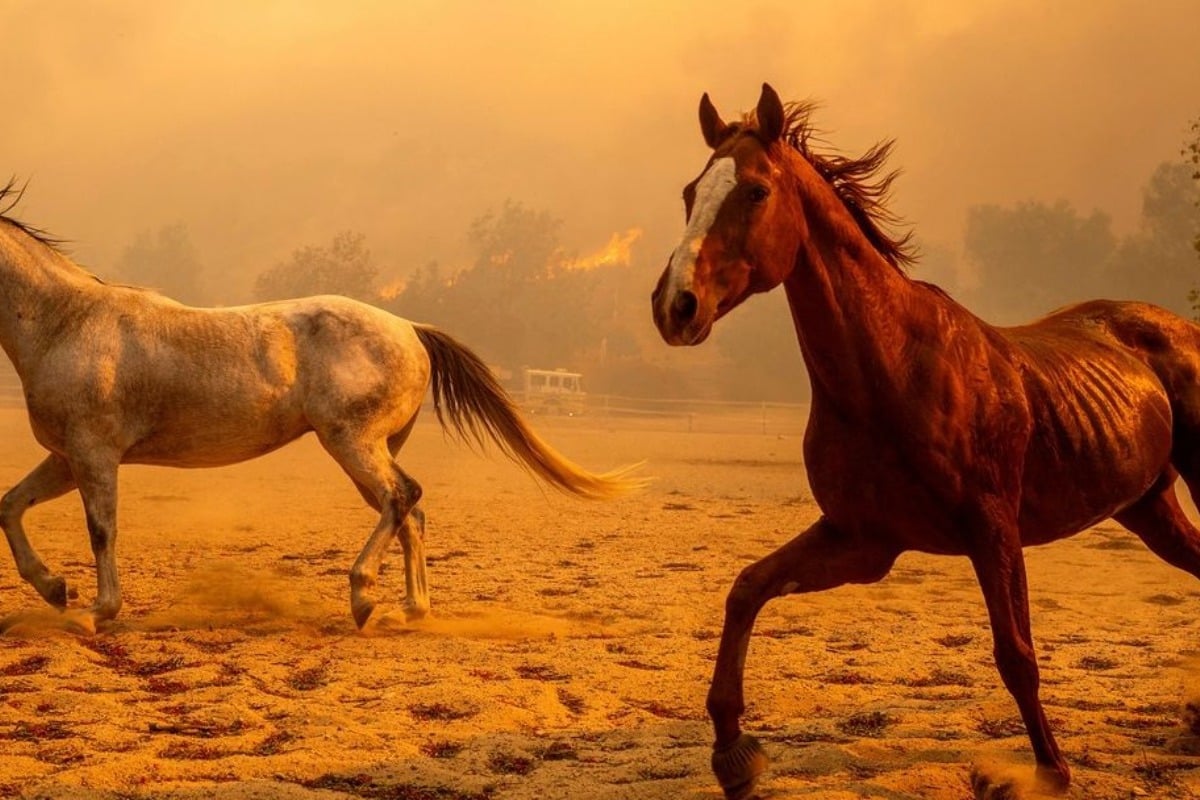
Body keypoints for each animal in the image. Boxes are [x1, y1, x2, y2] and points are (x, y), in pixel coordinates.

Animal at [657, 82, 1200, 800]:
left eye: (754, 191)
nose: (675, 306)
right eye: (691, 192)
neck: (893, 369)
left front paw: (1049, 771)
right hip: (1149, 509)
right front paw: (734, 754)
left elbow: (1016, 654)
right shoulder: (863, 541)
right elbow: (747, 588)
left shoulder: (992, 529)